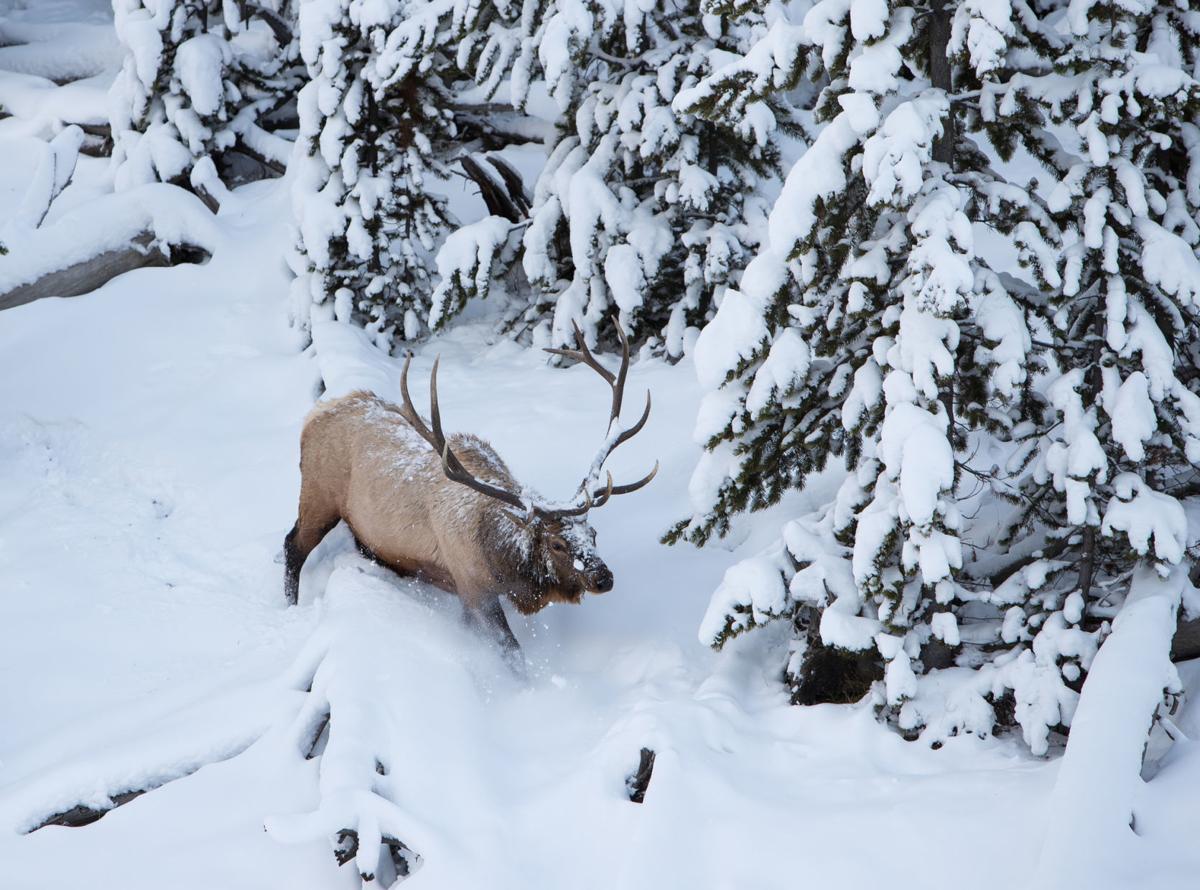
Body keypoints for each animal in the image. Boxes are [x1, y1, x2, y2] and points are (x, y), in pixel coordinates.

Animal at [282, 322, 657, 659]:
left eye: (593, 534)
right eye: (557, 544)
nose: (604, 578)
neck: (504, 563)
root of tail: (314, 415)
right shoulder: (472, 585)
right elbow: (510, 653)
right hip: (317, 495)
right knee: (293, 545)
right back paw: (290, 607)